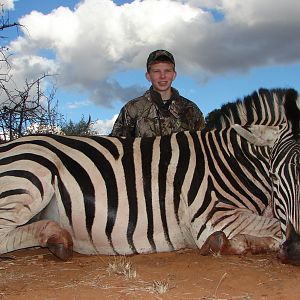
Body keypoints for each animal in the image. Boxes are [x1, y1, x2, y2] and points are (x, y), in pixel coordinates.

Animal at [0, 88, 298, 264]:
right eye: (274, 175)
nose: (295, 250)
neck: (228, 160)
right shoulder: (215, 215)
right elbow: (274, 229)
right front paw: (227, 244)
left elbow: (276, 226)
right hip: (30, 178)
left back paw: (56, 239)